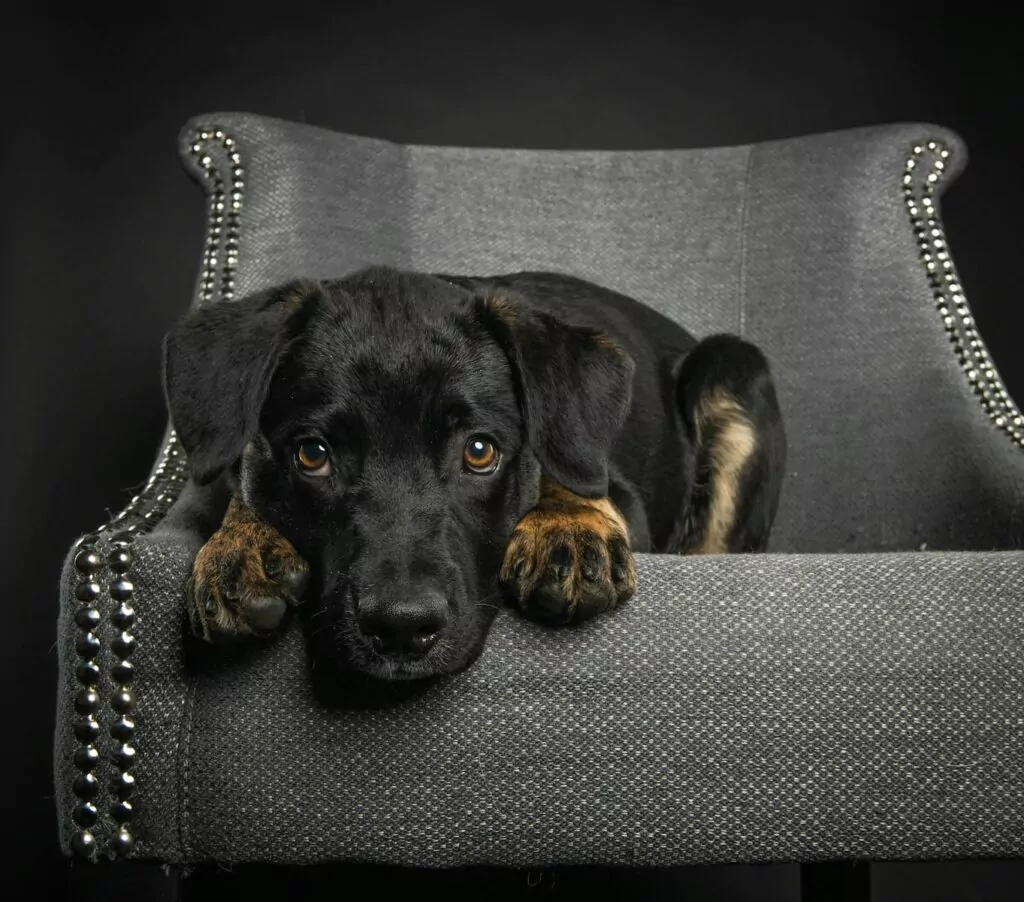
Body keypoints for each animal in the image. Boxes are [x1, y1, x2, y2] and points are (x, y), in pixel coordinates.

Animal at [159, 268, 782, 683]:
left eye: (480, 451)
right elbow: (246, 476)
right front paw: (239, 545)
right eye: (313, 455)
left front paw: (567, 526)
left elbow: (563, 470)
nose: (401, 628)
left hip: (734, 369)